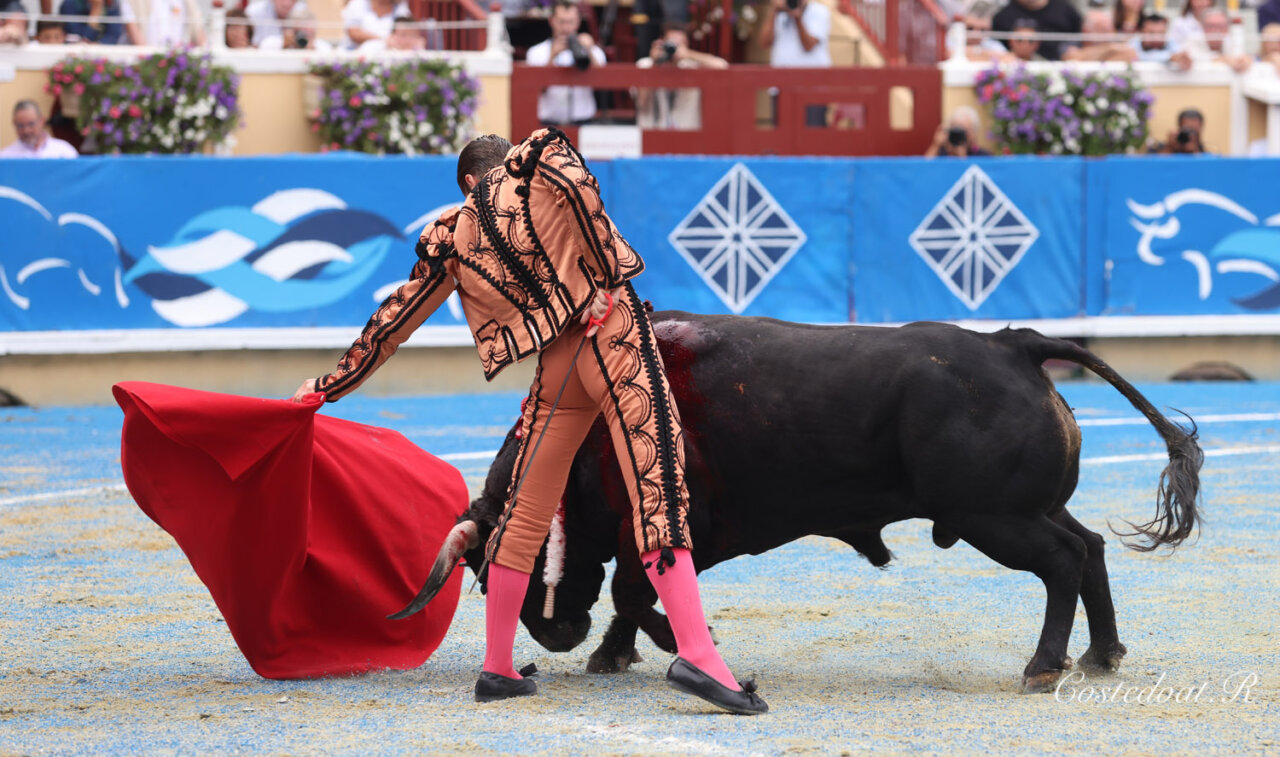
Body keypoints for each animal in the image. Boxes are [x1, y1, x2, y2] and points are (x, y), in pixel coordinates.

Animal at [395, 312, 1203, 694]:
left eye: (503, 568)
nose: (553, 633)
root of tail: (1014, 345)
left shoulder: (671, 526)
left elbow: (633, 589)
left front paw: (675, 645)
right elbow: (631, 591)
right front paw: (613, 652)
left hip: (992, 517)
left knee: (1063, 560)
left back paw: (1043, 664)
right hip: (1022, 508)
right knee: (1089, 548)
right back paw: (1100, 654)